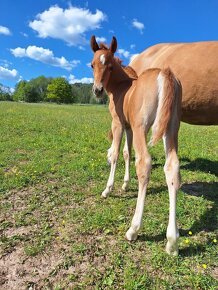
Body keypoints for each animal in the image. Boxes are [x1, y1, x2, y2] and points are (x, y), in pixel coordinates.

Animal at [90, 35, 182, 255]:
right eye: (92, 65)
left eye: (110, 66)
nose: (97, 90)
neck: (122, 86)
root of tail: (164, 74)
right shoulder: (129, 127)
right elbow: (126, 152)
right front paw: (125, 184)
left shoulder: (118, 123)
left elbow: (116, 153)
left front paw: (108, 189)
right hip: (170, 128)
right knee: (172, 167)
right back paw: (172, 241)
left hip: (143, 128)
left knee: (144, 163)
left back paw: (133, 229)